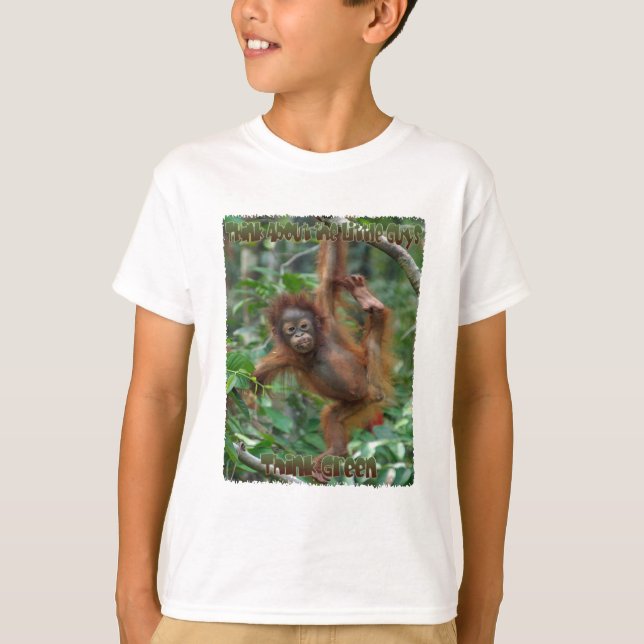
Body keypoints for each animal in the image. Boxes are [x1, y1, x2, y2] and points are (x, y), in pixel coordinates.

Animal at [253, 240, 395, 484]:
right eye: (290, 330)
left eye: (304, 325)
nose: (300, 335)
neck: (315, 350)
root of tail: (370, 393)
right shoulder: (284, 357)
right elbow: (253, 376)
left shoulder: (326, 317)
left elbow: (328, 275)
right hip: (357, 403)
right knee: (332, 415)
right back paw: (336, 452)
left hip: (371, 372)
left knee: (374, 339)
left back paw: (369, 301)